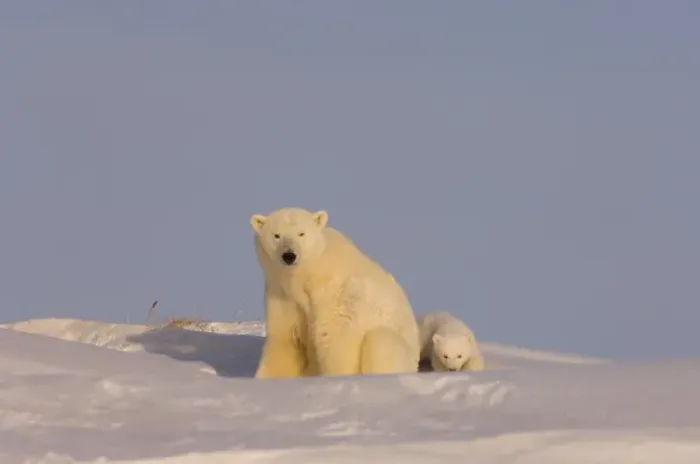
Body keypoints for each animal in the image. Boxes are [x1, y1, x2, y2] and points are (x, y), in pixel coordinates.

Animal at [250, 207, 420, 378]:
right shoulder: (282, 295)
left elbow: (336, 339)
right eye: (276, 235)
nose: (289, 256)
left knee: (381, 340)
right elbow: (285, 340)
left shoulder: (335, 292)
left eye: (301, 233)